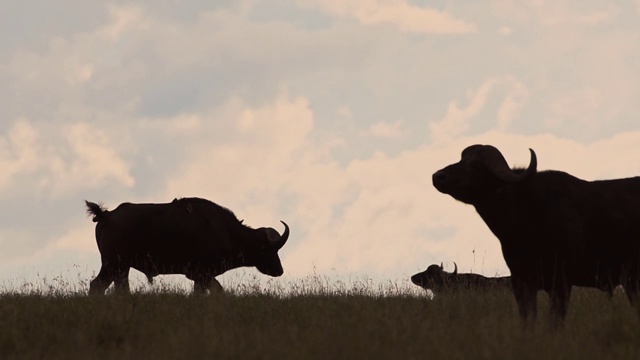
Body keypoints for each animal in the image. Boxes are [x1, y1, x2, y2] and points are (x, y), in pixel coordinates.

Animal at [84, 197, 288, 296]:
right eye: (268, 248)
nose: (280, 270)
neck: (228, 231)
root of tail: (106, 215)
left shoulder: (200, 278)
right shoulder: (202, 274)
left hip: (121, 268)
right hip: (113, 265)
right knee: (97, 285)